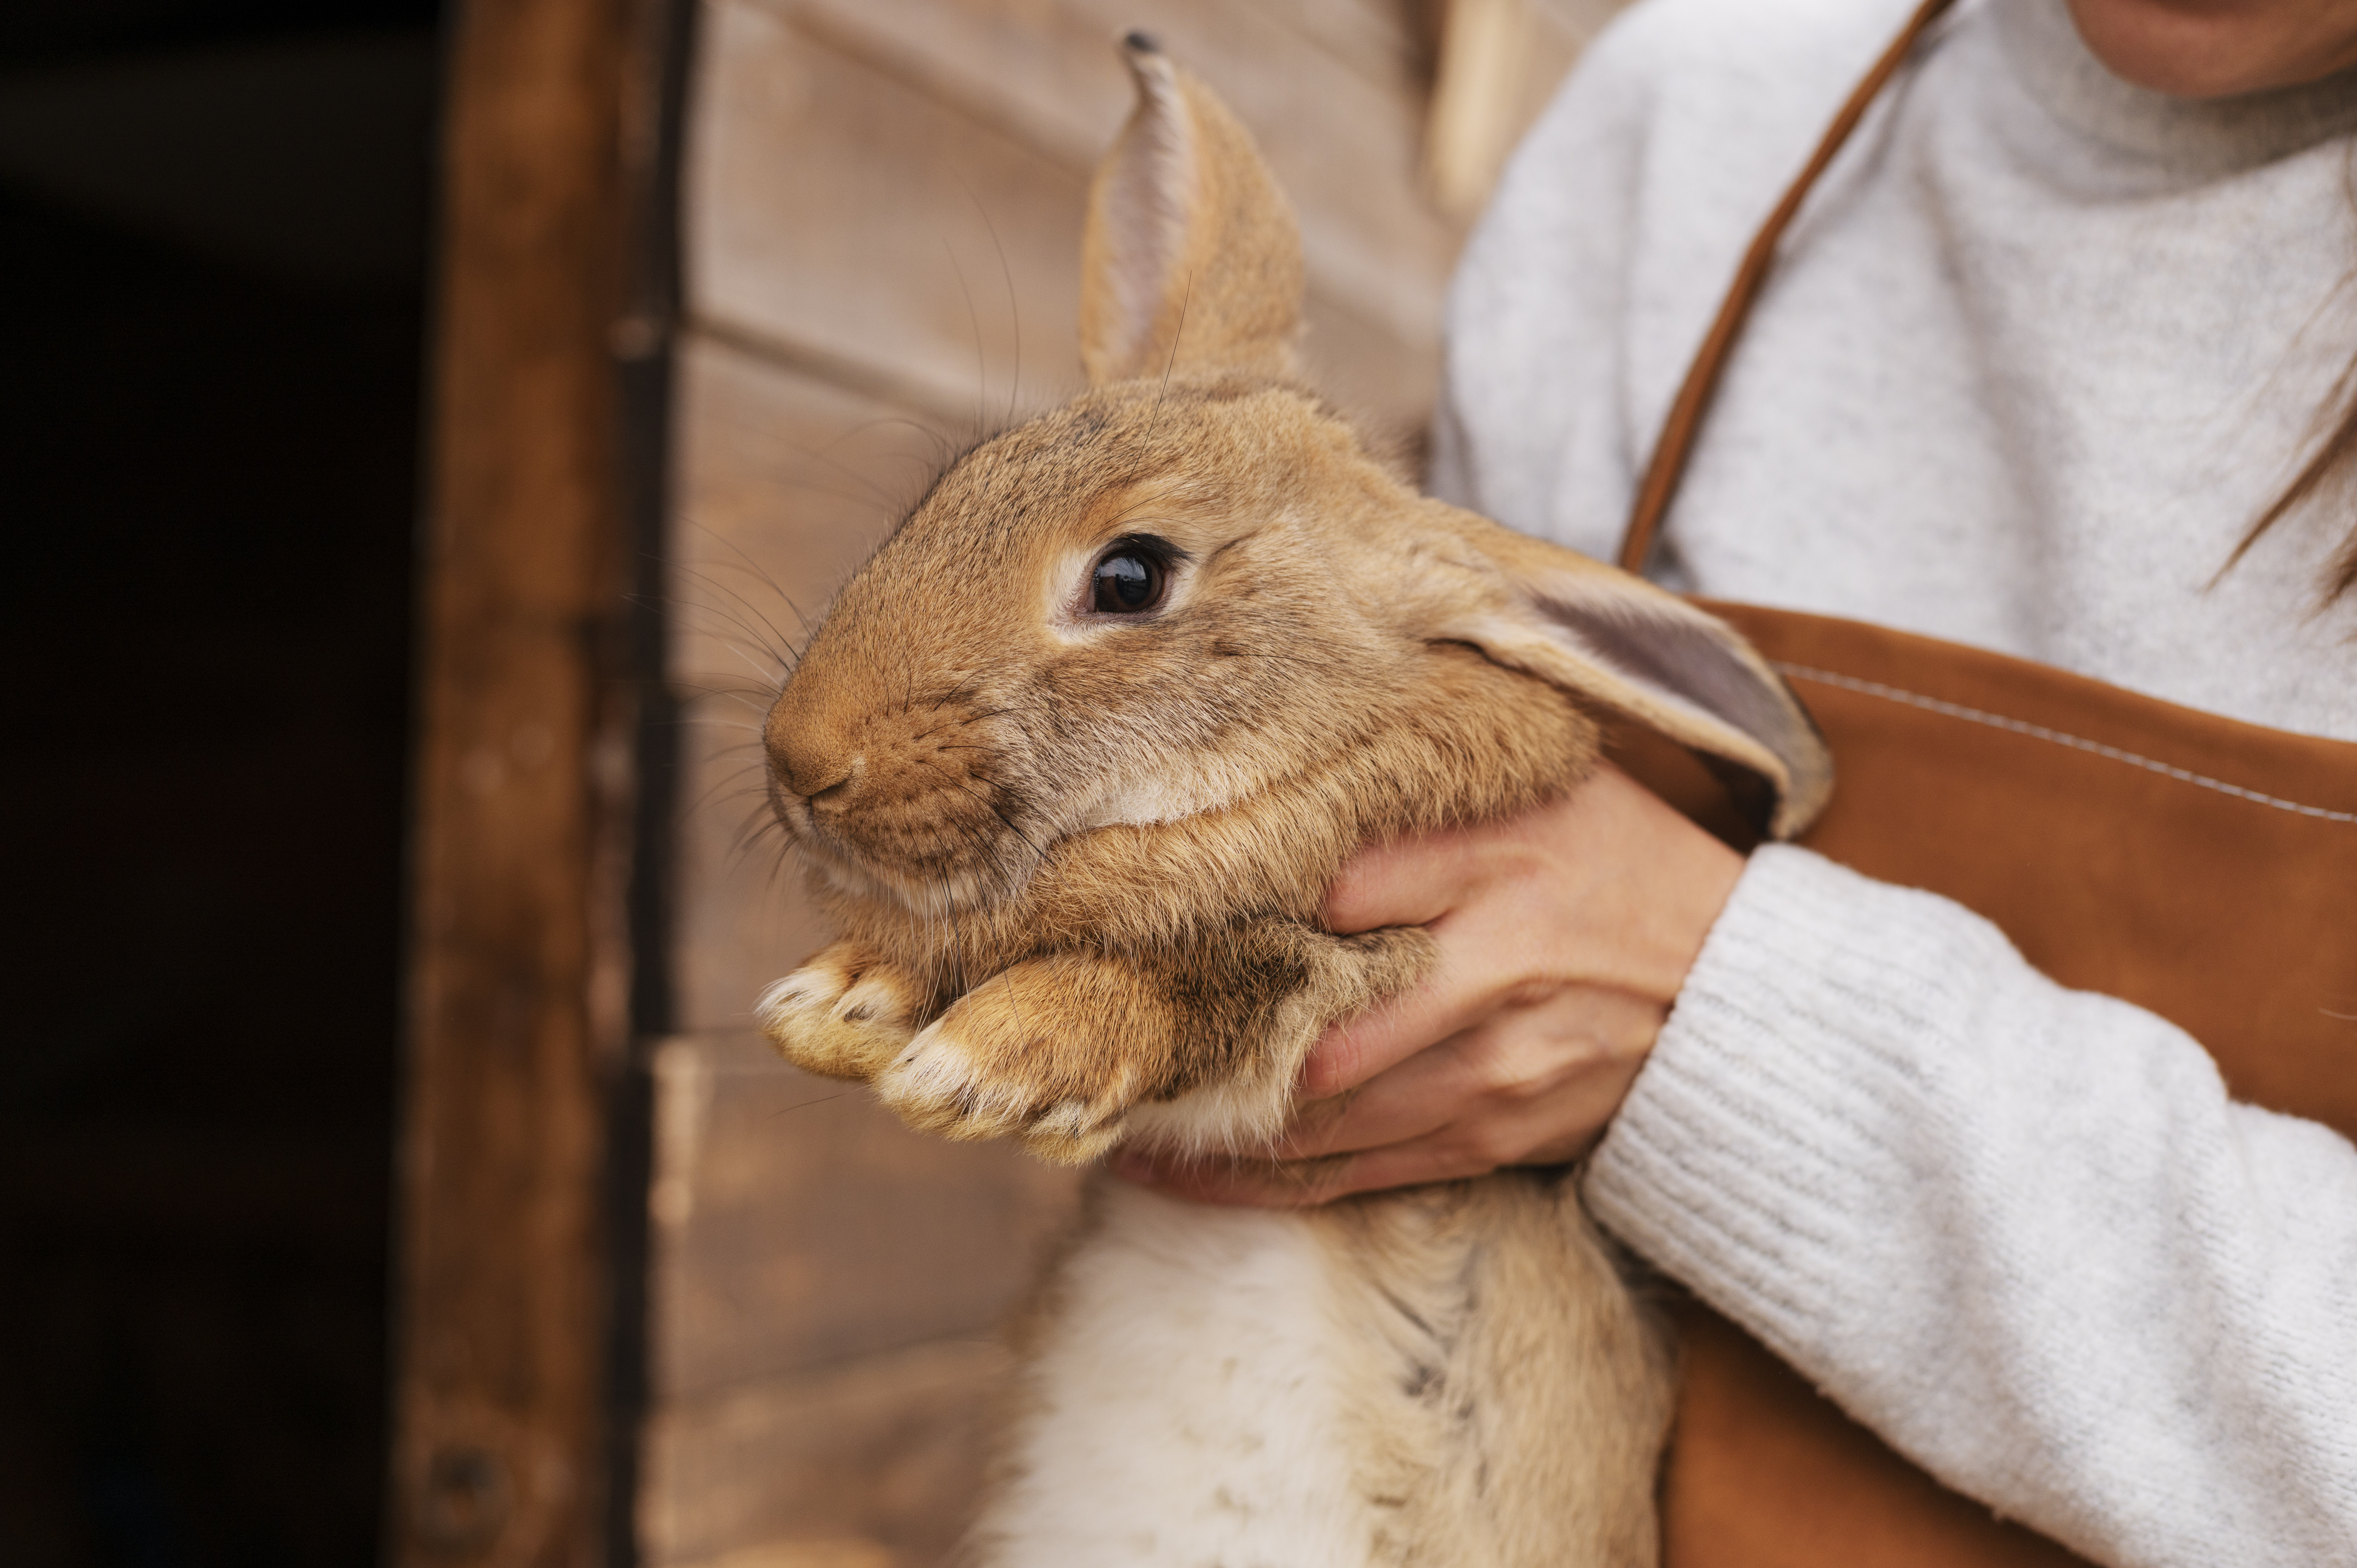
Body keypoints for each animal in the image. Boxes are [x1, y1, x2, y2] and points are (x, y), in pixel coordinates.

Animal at [753, 34, 1833, 1568]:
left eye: (1131, 576)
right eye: (948, 490)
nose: (800, 760)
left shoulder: (1367, 969)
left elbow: (1215, 975)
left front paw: (1000, 1060)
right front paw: (844, 1000)